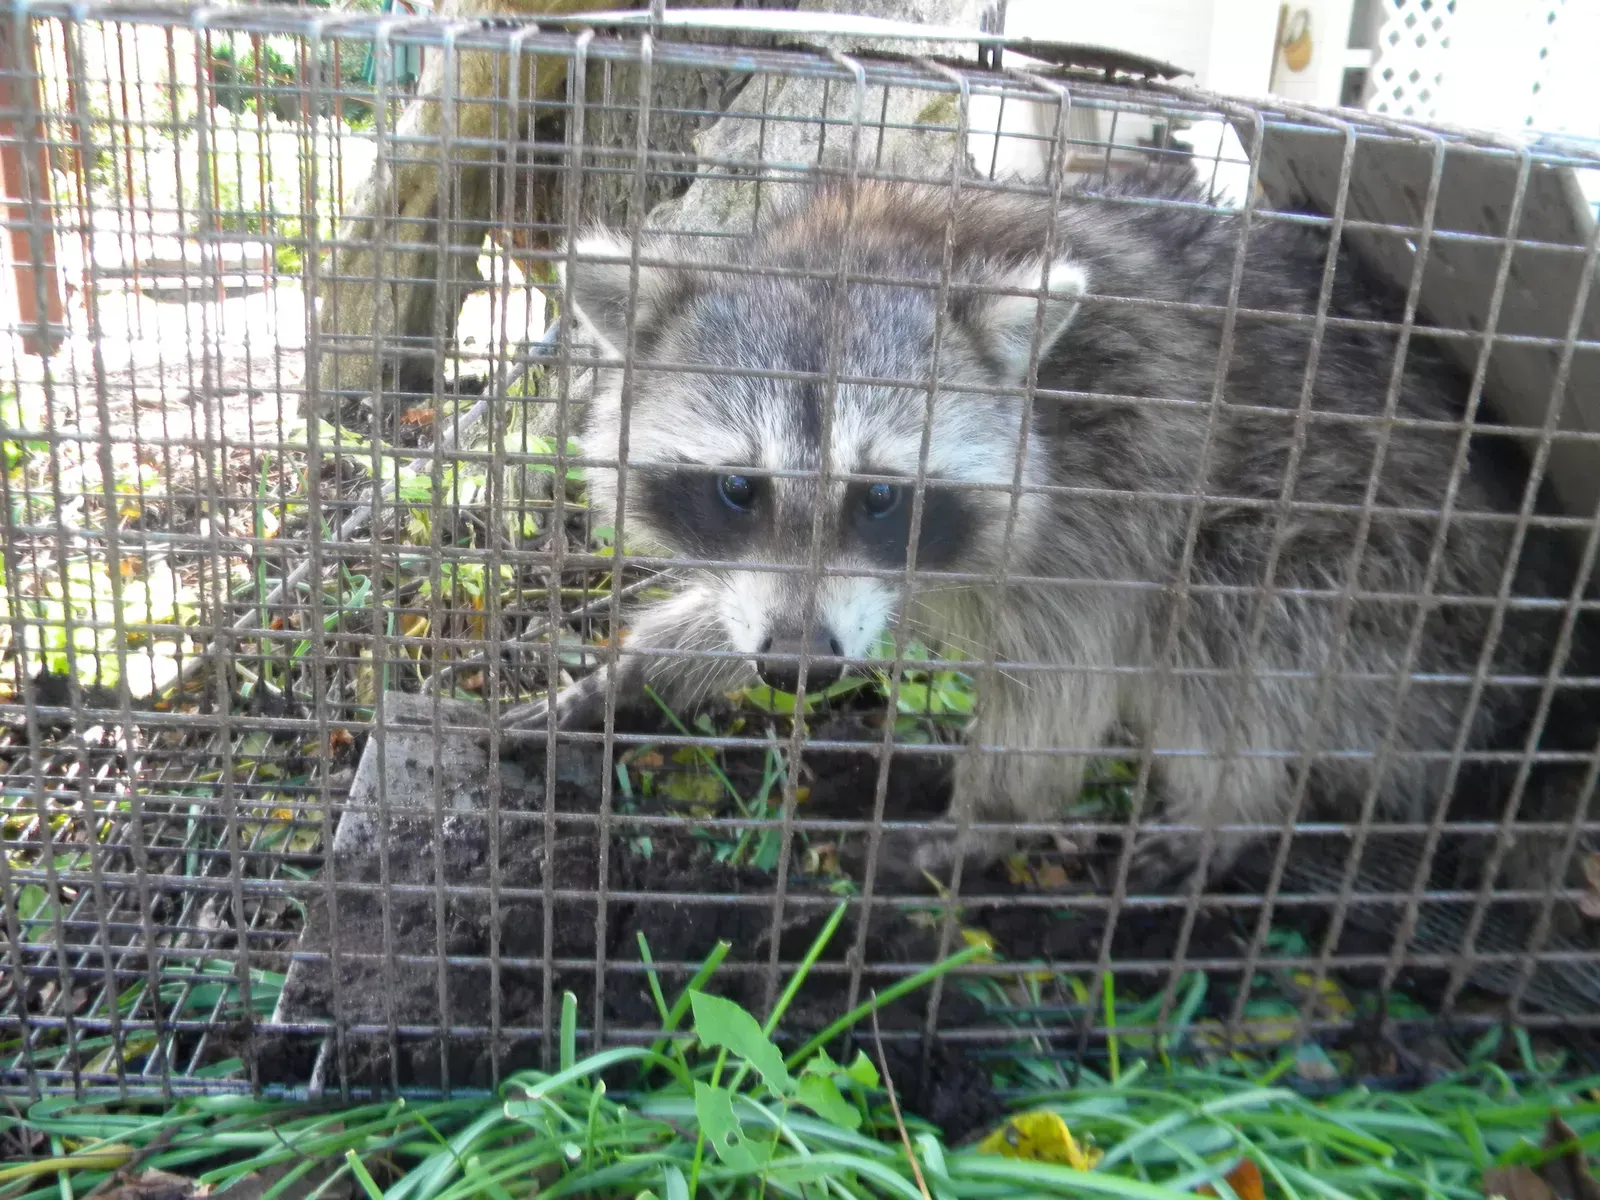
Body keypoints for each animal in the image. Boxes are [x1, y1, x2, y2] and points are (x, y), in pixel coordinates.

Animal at [497, 175, 1595, 890]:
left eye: (880, 495)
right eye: (738, 488)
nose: (801, 668)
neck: (882, 241)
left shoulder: (1120, 466)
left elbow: (1069, 669)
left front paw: (996, 811)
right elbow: (742, 605)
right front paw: (646, 665)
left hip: (1409, 594)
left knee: (1231, 613)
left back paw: (1232, 805)